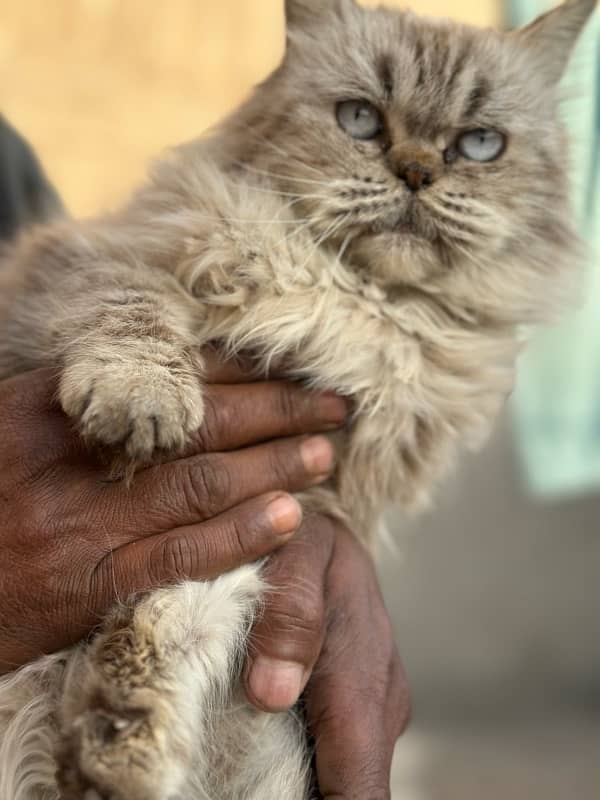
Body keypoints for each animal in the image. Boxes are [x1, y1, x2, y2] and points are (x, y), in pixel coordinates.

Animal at [0, 1, 592, 800]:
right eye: (360, 119)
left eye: (478, 144)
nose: (416, 171)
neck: (352, 304)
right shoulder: (89, 261)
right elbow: (135, 311)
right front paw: (143, 403)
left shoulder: (292, 512)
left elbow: (163, 622)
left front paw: (115, 749)